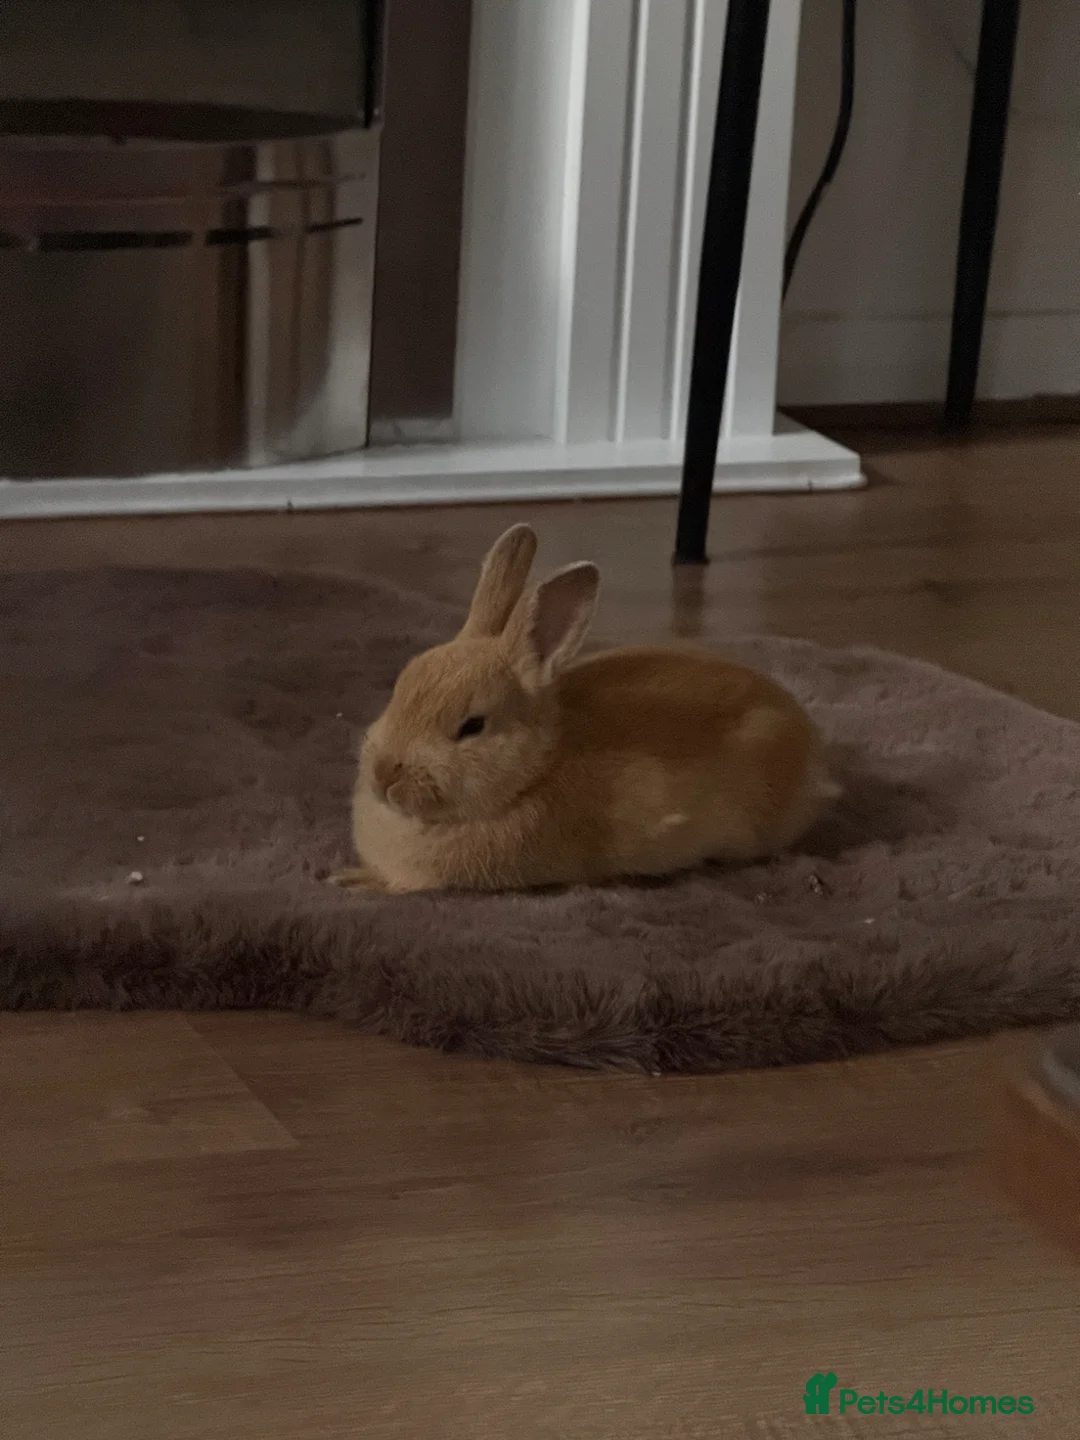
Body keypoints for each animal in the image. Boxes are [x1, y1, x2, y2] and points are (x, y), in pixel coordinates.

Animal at [331, 524, 836, 894]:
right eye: (399, 688)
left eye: (471, 726)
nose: (384, 774)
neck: (536, 770)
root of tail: (812, 749)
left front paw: (355, 881)